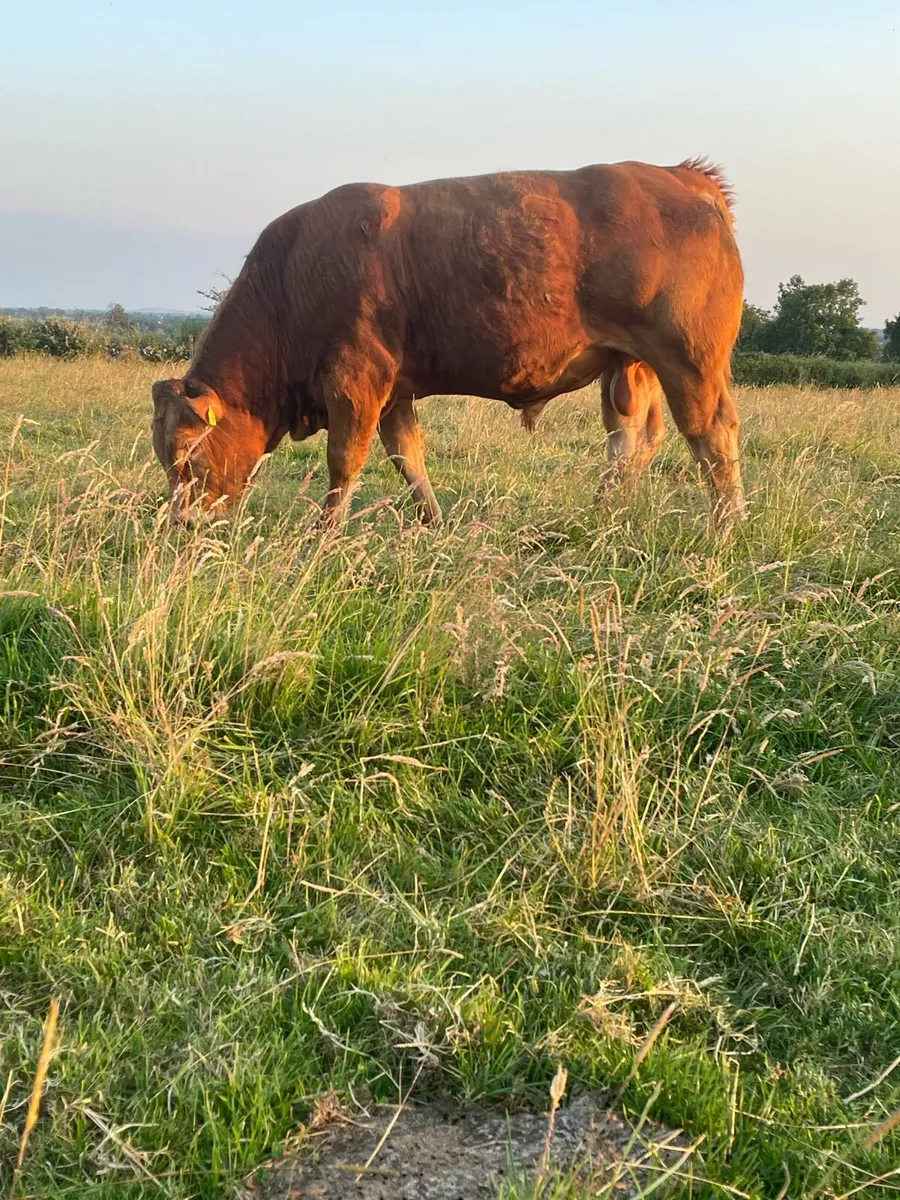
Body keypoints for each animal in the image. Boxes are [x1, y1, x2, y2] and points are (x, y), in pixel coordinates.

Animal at [151, 158, 745, 527]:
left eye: (186, 458)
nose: (182, 524)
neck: (295, 273)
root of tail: (680, 176)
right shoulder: (395, 391)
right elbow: (407, 457)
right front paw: (432, 522)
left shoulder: (357, 379)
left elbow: (345, 461)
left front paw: (322, 535)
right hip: (631, 365)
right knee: (633, 439)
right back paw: (605, 514)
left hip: (689, 359)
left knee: (711, 435)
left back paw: (725, 527)